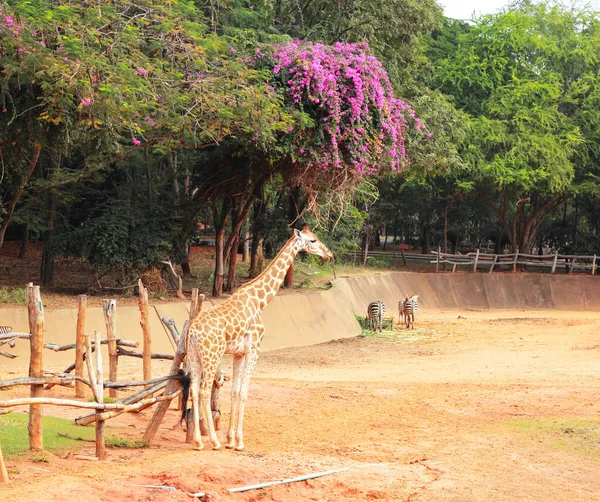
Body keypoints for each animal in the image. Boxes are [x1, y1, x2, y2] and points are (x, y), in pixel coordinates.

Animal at [185, 224, 332, 452]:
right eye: (313, 240)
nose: (328, 254)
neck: (260, 301)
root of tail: (193, 331)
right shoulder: (254, 350)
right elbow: (244, 392)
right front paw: (239, 442)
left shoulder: (239, 353)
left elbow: (235, 392)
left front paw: (230, 439)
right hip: (211, 356)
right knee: (204, 391)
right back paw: (214, 442)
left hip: (194, 356)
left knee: (193, 390)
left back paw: (200, 442)